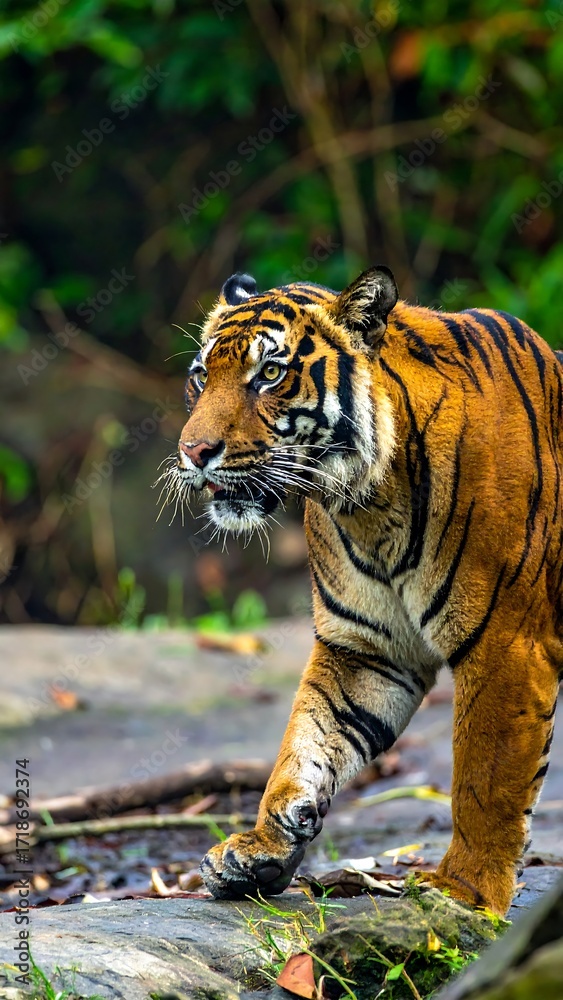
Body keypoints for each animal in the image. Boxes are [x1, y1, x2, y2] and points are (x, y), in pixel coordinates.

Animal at [161, 265, 563, 915]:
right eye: (201, 377)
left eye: (269, 374)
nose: (193, 453)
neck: (368, 503)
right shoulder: (367, 648)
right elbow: (306, 743)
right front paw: (261, 849)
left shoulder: (507, 643)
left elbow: (485, 778)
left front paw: (464, 891)